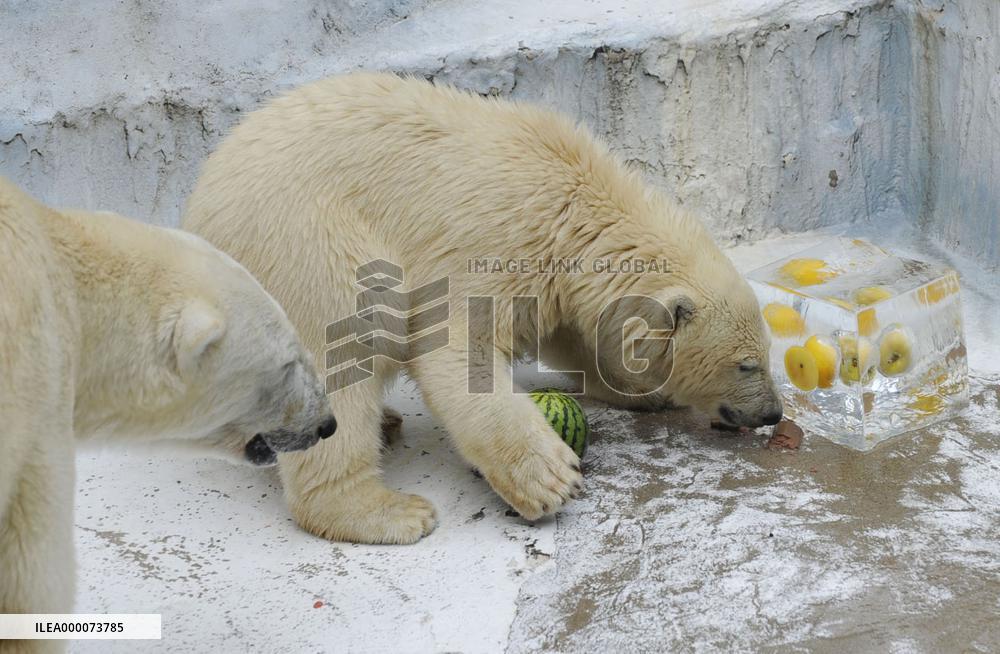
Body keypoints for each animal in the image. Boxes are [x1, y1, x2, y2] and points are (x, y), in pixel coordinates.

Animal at [183, 73, 782, 545]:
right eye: (746, 364)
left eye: (765, 357)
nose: (774, 413)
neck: (578, 203)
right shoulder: (495, 240)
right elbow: (456, 348)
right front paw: (550, 479)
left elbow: (576, 334)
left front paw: (642, 392)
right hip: (303, 243)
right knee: (345, 349)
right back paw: (389, 511)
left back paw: (389, 423)